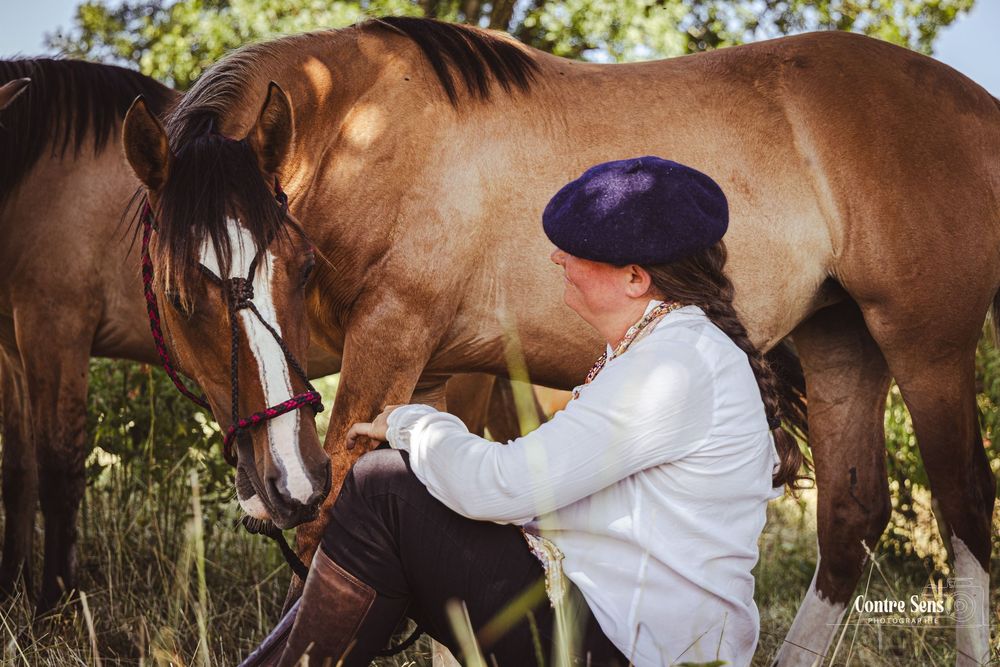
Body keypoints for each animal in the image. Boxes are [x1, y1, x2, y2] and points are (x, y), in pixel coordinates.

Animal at [0, 58, 524, 612]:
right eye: (177, 298)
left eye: (308, 269)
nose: (295, 479)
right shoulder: (12, 349)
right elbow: (18, 471)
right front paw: (11, 586)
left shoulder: (55, 328)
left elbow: (57, 470)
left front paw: (53, 603)